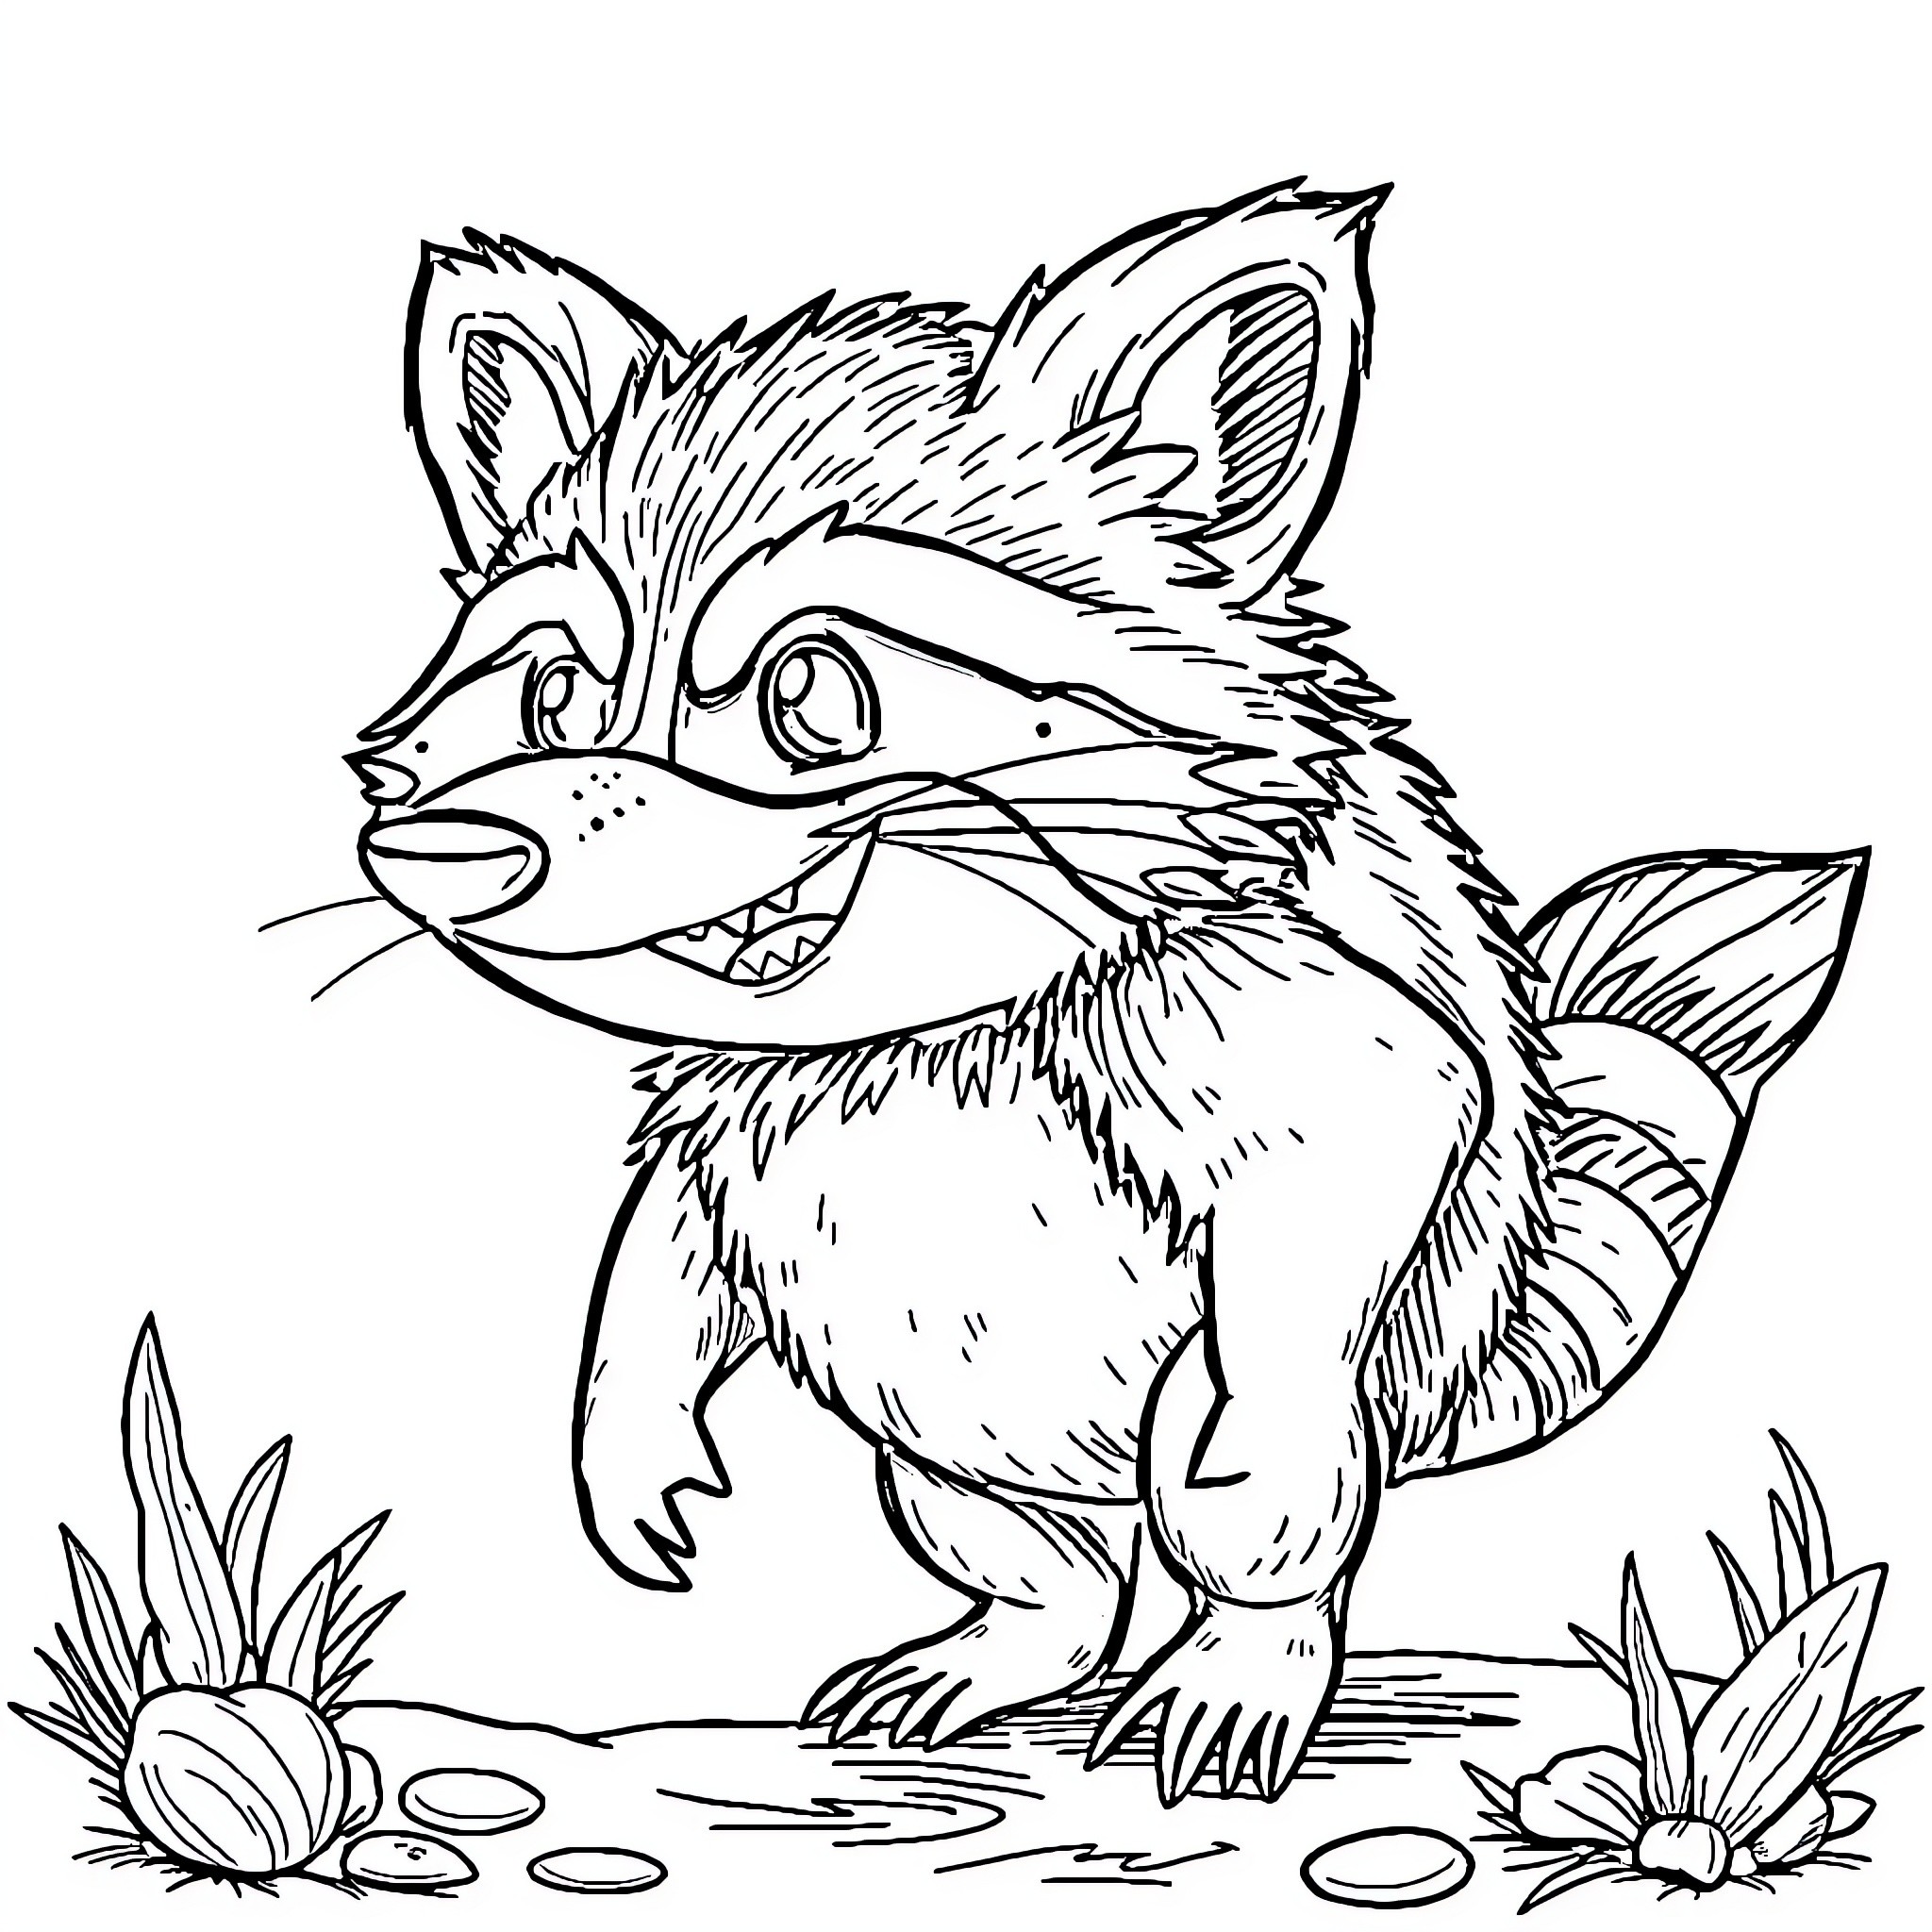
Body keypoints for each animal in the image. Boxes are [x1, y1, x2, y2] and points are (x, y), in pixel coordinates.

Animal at [351, 182, 1862, 1802]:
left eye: (812, 697)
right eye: (548, 698)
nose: (441, 848)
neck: (914, 1029)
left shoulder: (1296, 1037)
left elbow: (1356, 1194)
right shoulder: (724, 1124)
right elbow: (664, 1267)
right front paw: (631, 1452)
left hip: (1282, 1395)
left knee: (1239, 1533)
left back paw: (1237, 1677)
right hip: (944, 1449)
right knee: (1055, 1580)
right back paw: (983, 1659)